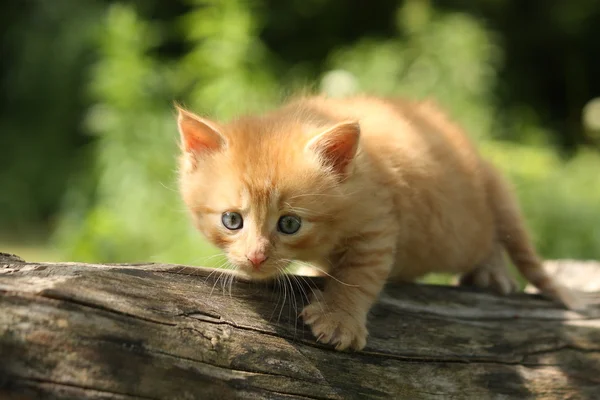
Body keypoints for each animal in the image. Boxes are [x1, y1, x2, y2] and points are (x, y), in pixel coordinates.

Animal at [176, 96, 584, 350]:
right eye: (232, 220)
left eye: (289, 224)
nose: (257, 257)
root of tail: (478, 160)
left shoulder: (378, 221)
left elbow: (359, 275)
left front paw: (340, 320)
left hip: (460, 228)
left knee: (490, 237)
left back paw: (491, 271)